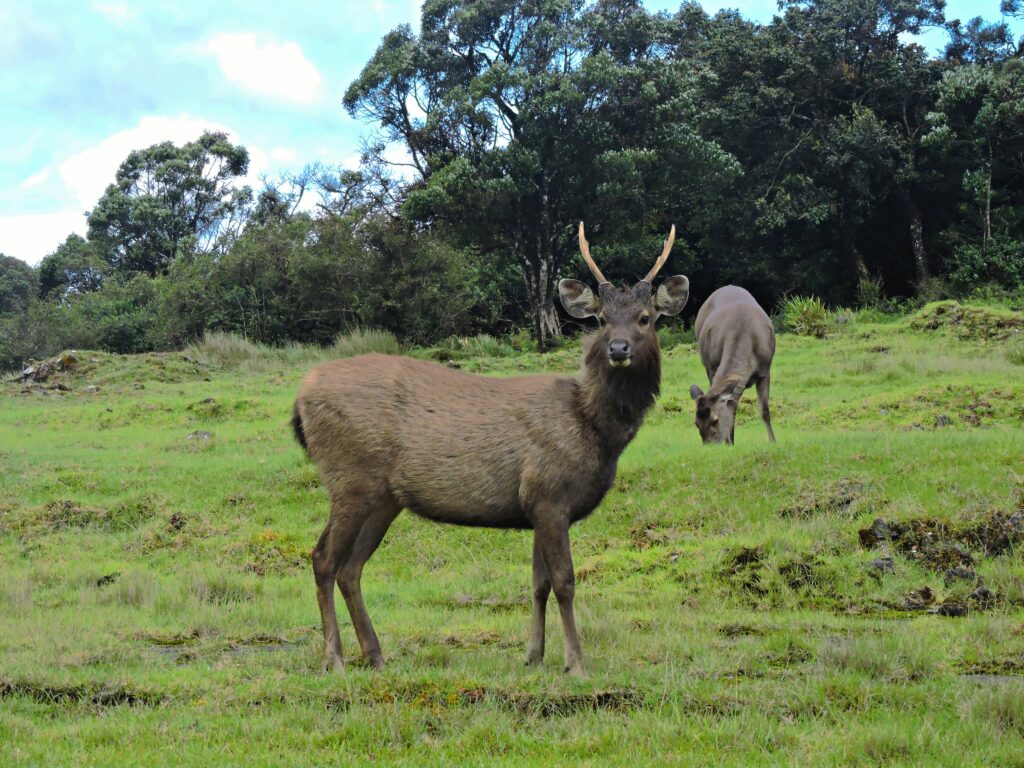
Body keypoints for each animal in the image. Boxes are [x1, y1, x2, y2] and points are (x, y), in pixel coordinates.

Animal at [288, 224, 688, 679]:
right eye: (601, 319)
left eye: (646, 318)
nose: (618, 349)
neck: (593, 430)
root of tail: (301, 397)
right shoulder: (548, 493)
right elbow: (565, 581)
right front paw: (575, 663)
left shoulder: (536, 504)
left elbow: (538, 583)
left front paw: (533, 655)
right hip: (349, 478)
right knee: (322, 558)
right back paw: (334, 659)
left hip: (383, 496)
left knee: (351, 567)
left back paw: (375, 655)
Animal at [688, 286, 774, 444]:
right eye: (696, 423)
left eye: (715, 420)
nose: (710, 445)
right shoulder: (713, 367)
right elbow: (732, 408)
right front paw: (731, 442)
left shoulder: (765, 370)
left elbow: (764, 410)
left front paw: (773, 441)